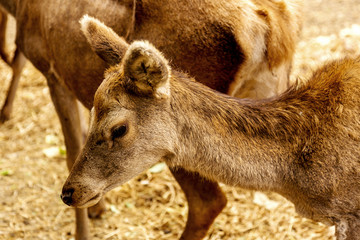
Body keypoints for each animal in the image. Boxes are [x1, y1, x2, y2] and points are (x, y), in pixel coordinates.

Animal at [0, 0, 302, 239]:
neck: (19, 7)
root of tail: (275, 29)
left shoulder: (52, 69)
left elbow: (71, 150)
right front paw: (97, 207)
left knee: (208, 202)